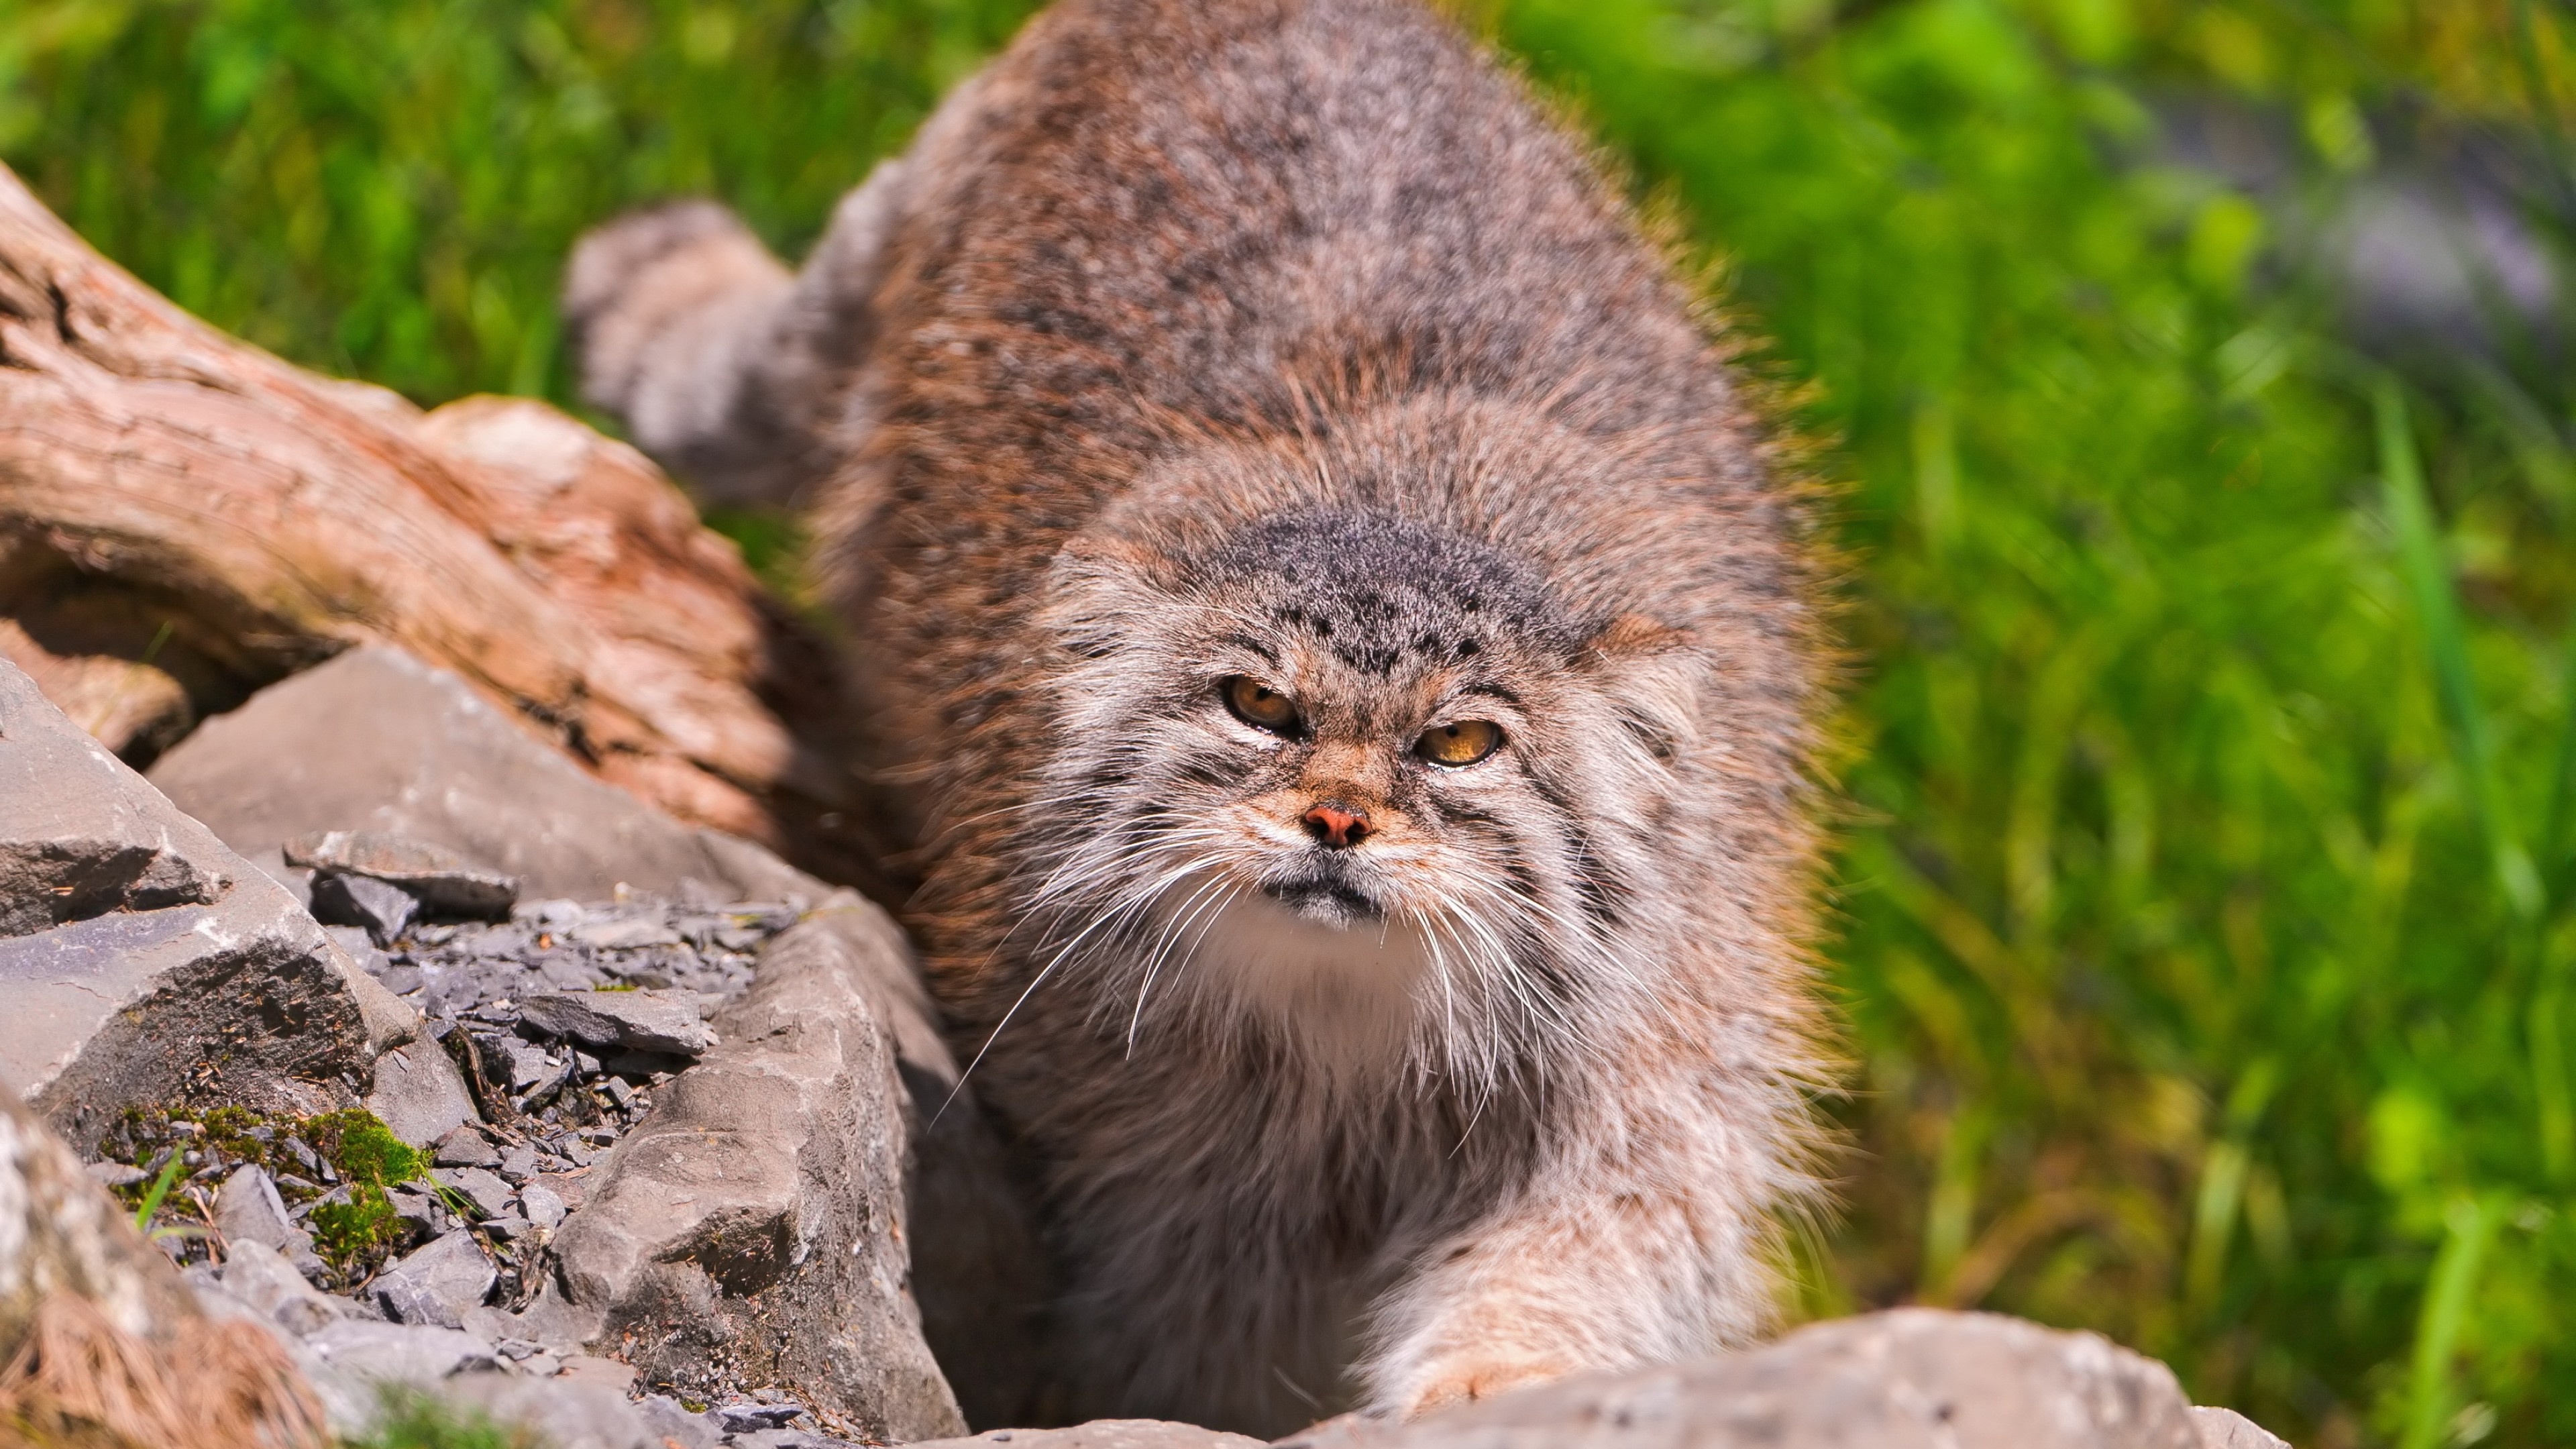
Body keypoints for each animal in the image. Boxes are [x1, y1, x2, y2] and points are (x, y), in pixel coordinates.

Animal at [572, 0, 1834, 1423]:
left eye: (1462, 742)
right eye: (1256, 705)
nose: (1336, 822)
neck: (1356, 1039)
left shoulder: (1648, 1051)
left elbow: (1593, 1234)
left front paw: (1499, 1374)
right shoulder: (1168, 1177)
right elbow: (1195, 1350)